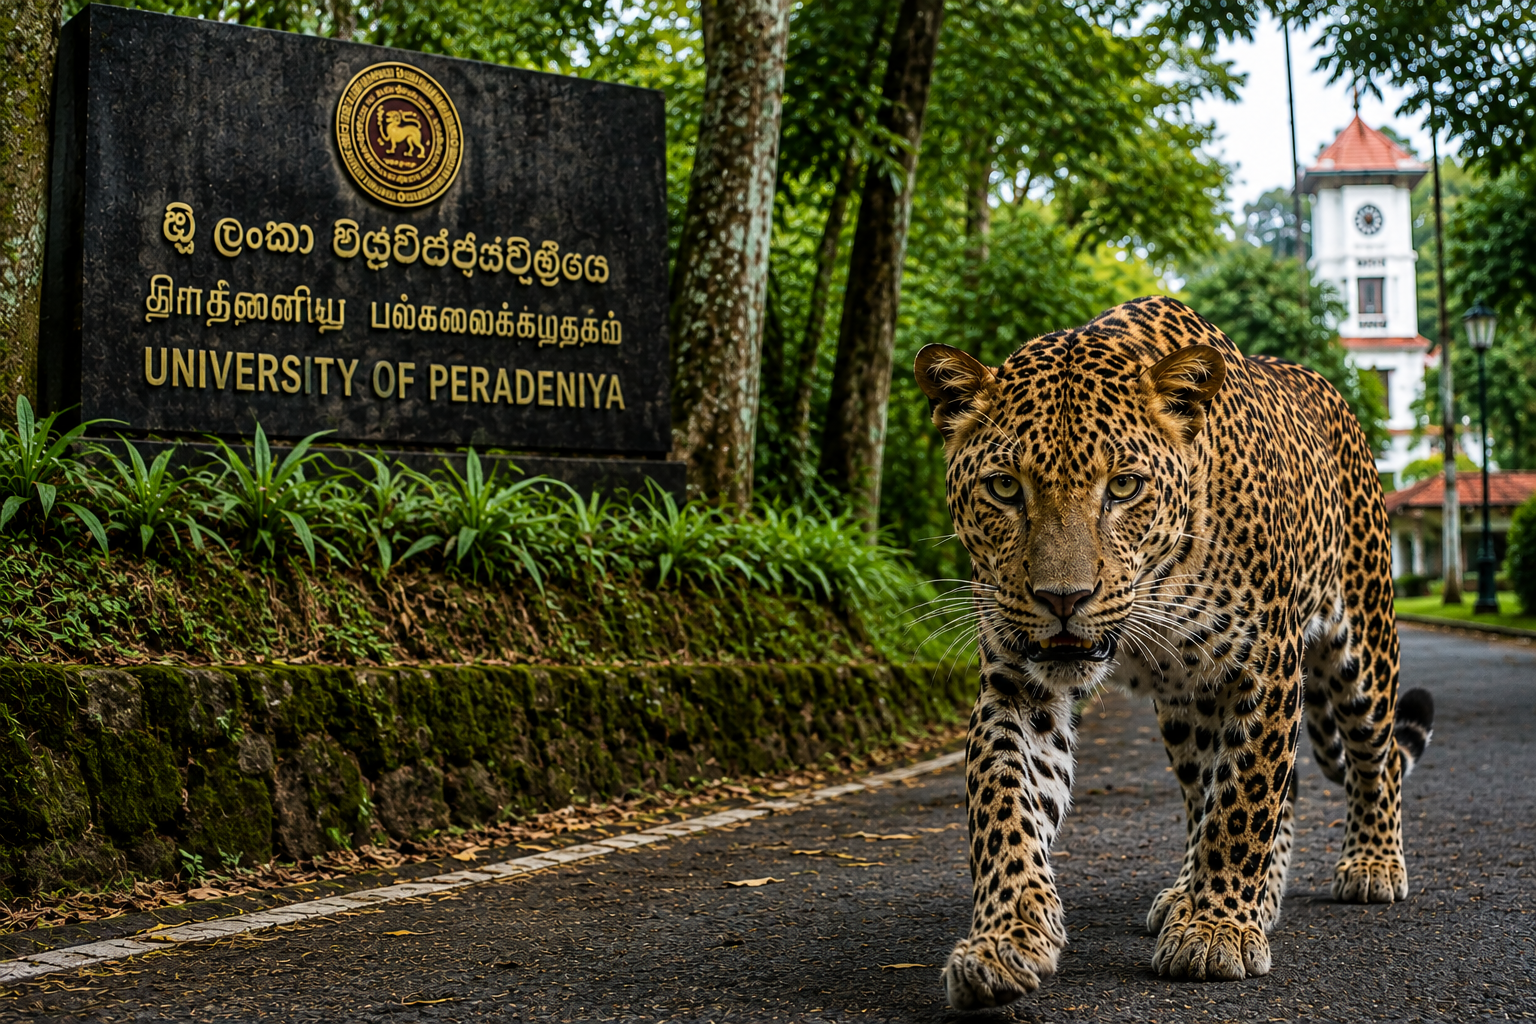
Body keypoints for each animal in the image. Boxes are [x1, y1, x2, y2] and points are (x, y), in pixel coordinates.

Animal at [913, 295, 1435, 1009]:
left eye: (1124, 486)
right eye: (1004, 488)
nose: (1062, 598)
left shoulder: (1266, 663)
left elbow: (1245, 801)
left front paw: (1215, 931)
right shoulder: (1018, 680)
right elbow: (1004, 802)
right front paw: (1004, 940)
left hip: (1364, 639)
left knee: (1371, 759)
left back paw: (1371, 863)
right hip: (1188, 705)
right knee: (1225, 785)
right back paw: (1220, 893)